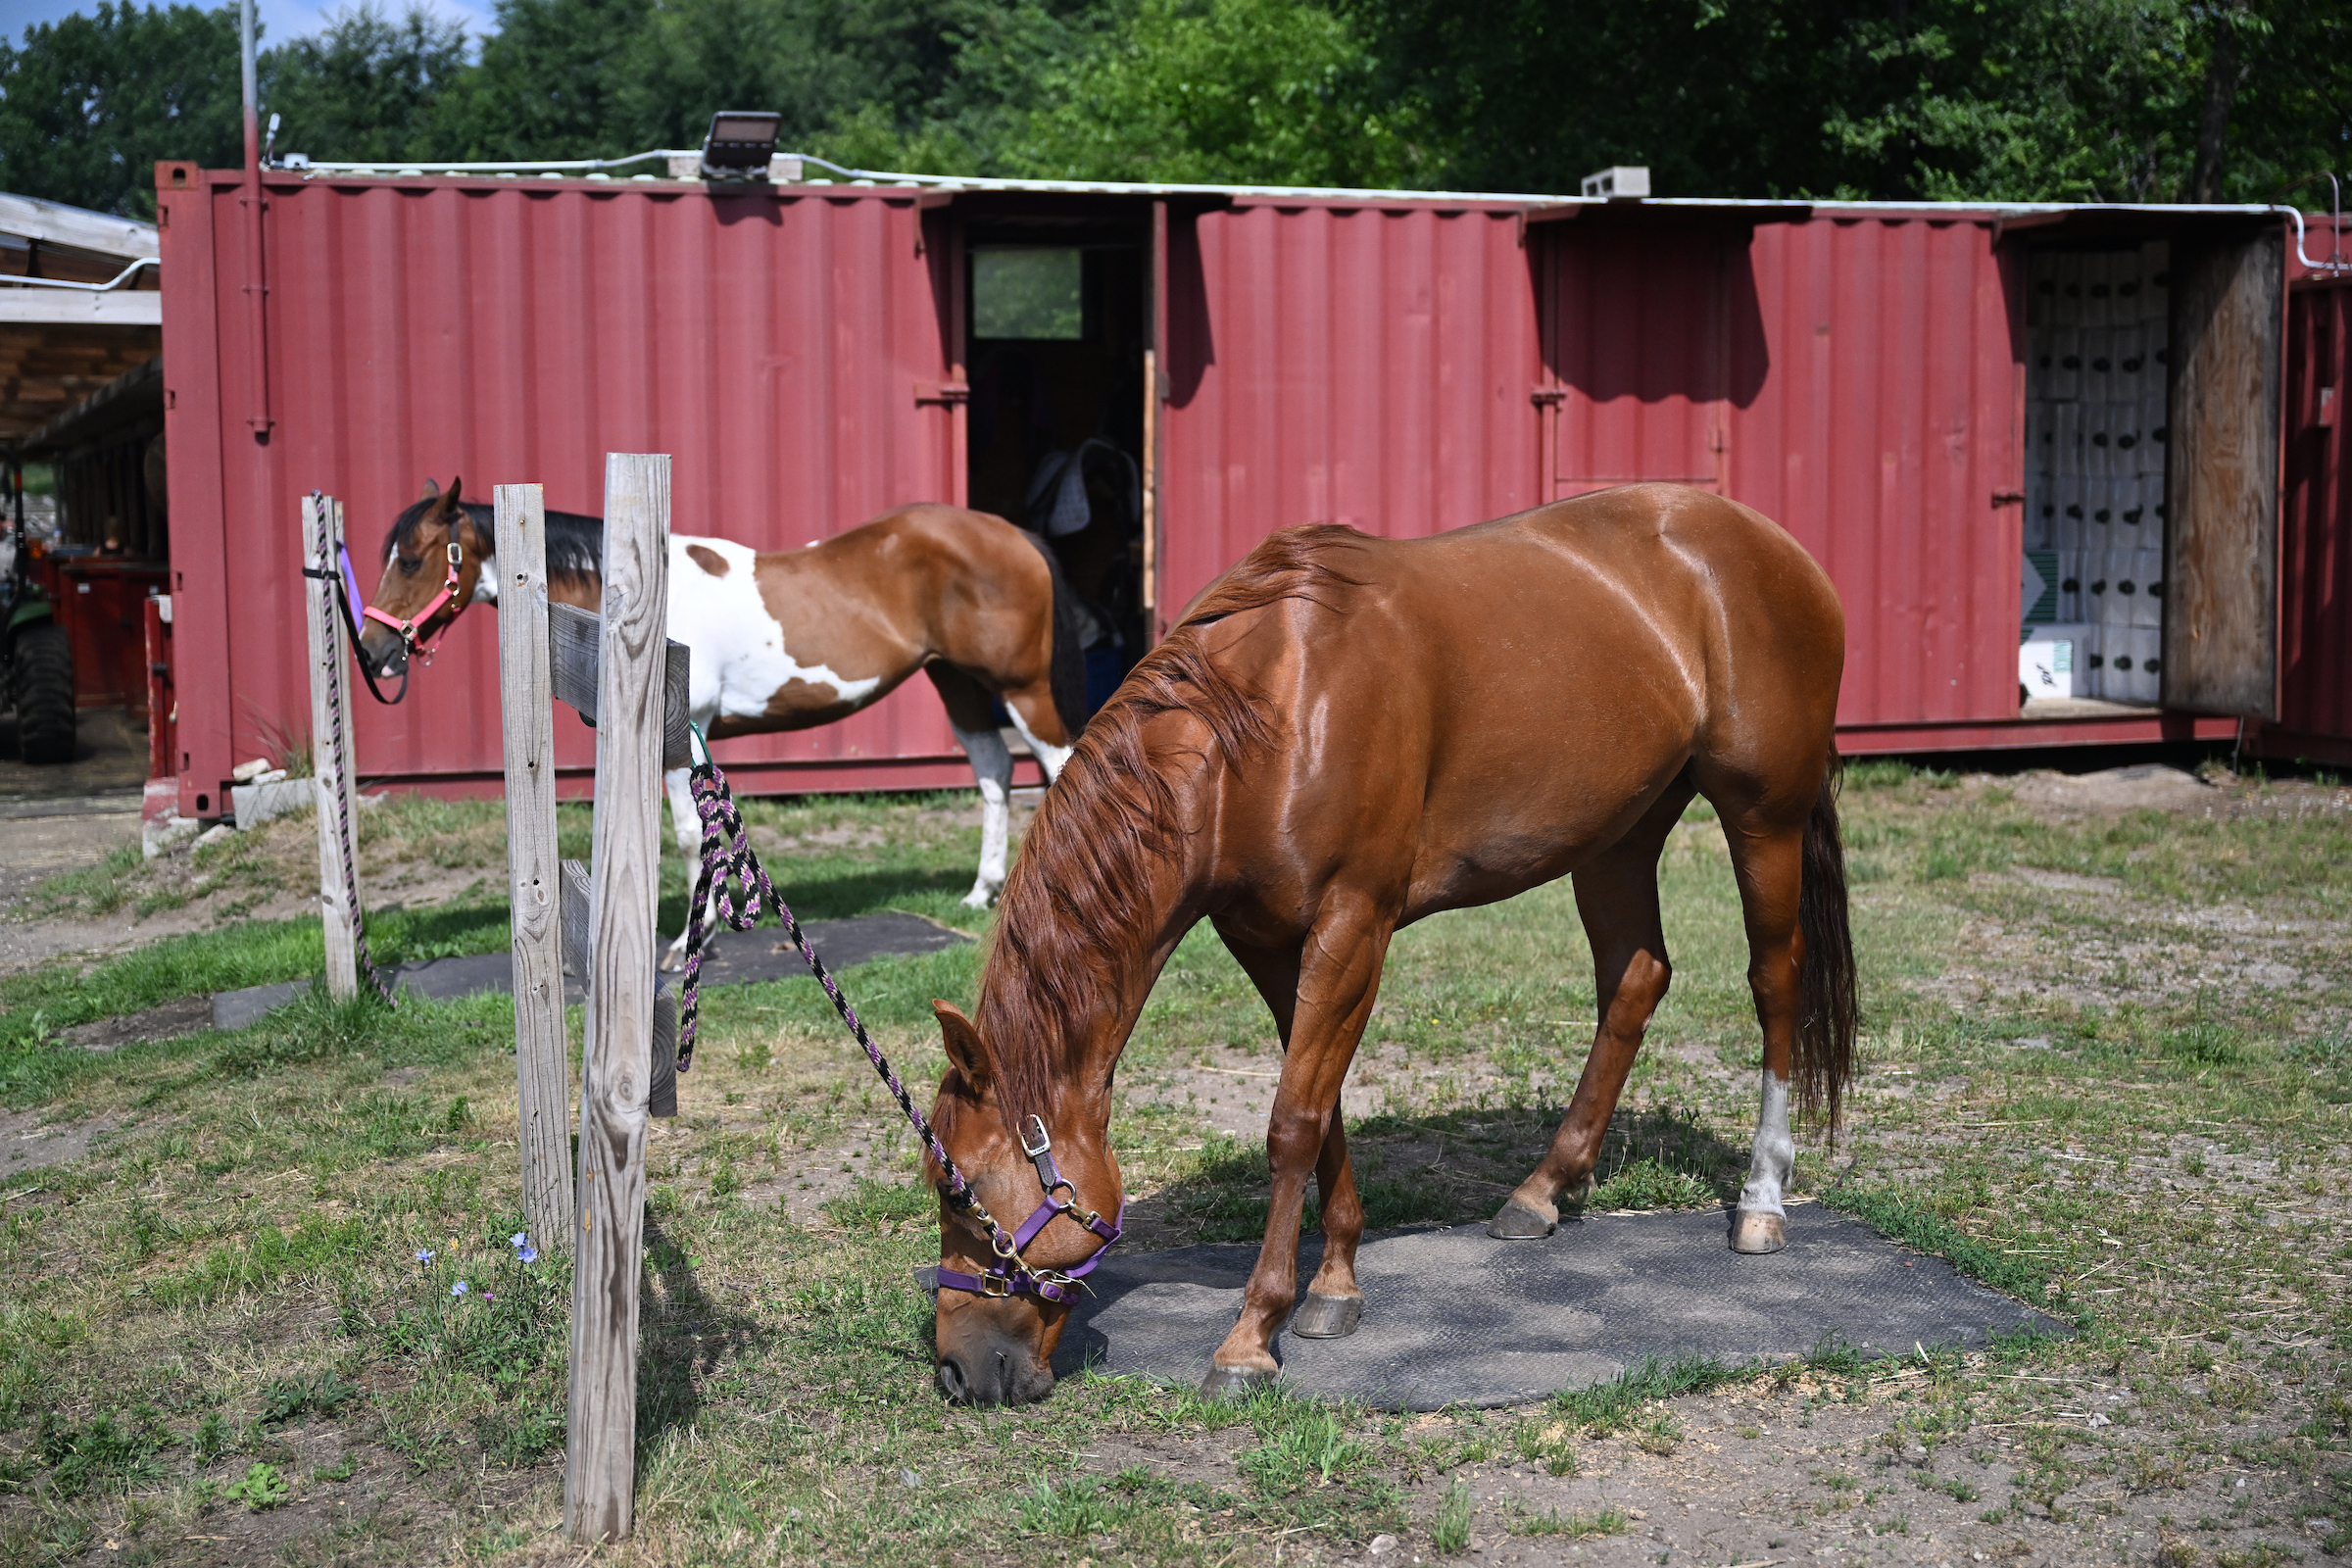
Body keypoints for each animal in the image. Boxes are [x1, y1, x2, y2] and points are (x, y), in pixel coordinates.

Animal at [357, 479, 1091, 950]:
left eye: (413, 560)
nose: (376, 652)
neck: (638, 606)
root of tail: (1013, 535)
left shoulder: (686, 733)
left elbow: (688, 835)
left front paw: (693, 937)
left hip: (1021, 687)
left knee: (1060, 768)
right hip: (956, 682)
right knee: (994, 773)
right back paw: (980, 892)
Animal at [917, 484, 1853, 1400]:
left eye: (961, 1194)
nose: (961, 1371)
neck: (1267, 720)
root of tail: (1771, 546)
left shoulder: (1353, 924)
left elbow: (1293, 1121)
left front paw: (1251, 1337)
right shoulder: (1266, 939)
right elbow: (1319, 1105)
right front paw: (1334, 1285)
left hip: (1763, 817)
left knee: (1775, 981)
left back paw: (1762, 1201)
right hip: (1616, 837)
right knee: (1635, 979)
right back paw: (1545, 1190)